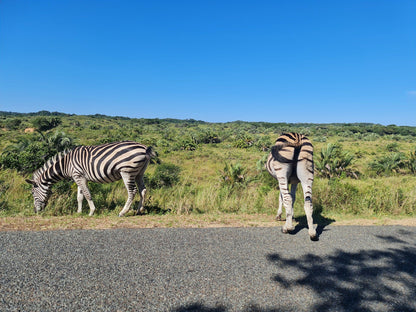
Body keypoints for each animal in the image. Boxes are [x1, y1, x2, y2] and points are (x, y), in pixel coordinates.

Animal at [26, 141, 156, 217]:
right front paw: (78, 212)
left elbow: (87, 194)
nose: (35, 211)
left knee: (132, 191)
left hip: (127, 171)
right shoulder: (78, 177)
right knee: (143, 190)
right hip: (139, 173)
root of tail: (144, 147)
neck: (66, 165)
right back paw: (139, 210)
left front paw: (92, 211)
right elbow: (80, 196)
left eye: (32, 193)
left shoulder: (79, 176)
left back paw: (123, 212)